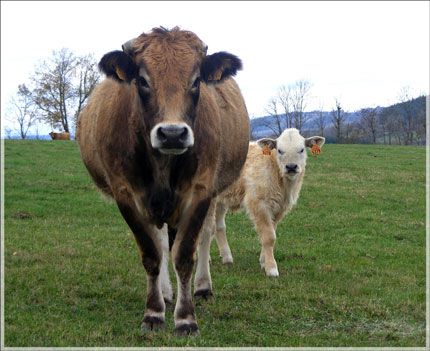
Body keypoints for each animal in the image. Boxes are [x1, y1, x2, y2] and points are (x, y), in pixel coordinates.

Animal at [77, 26, 249, 336]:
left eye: (196, 81)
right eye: (142, 80)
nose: (172, 134)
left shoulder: (201, 192)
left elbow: (184, 254)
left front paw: (186, 318)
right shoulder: (126, 195)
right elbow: (152, 254)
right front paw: (154, 312)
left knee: (204, 236)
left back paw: (202, 287)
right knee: (161, 242)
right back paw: (167, 293)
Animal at [210, 128, 324, 276]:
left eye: (301, 149)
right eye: (280, 150)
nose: (291, 167)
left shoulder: (279, 208)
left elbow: (271, 232)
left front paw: (263, 261)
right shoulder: (259, 203)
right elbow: (269, 237)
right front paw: (271, 268)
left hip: (220, 200)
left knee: (218, 226)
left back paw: (226, 257)